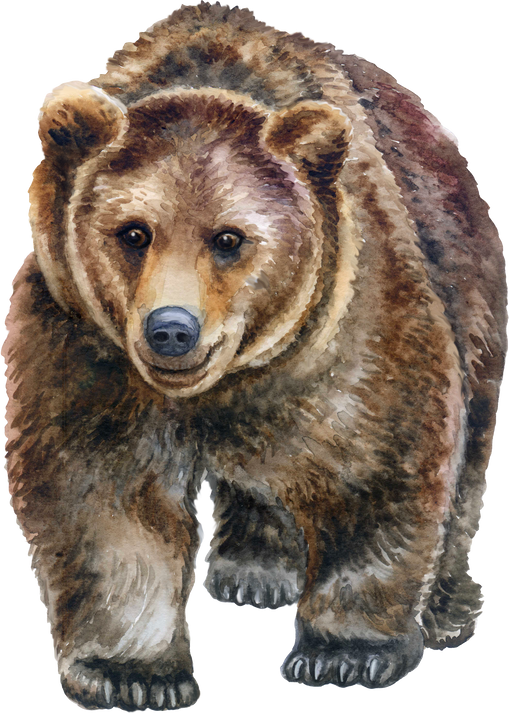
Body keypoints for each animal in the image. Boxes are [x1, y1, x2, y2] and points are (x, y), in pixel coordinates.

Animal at [2, 1, 506, 710]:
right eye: (133, 232)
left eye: (229, 238)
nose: (171, 330)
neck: (224, 383)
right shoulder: (84, 341)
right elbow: (104, 494)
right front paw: (131, 674)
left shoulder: (348, 324)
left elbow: (377, 459)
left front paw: (344, 655)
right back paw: (254, 570)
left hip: (465, 276)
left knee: (469, 448)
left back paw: (447, 609)